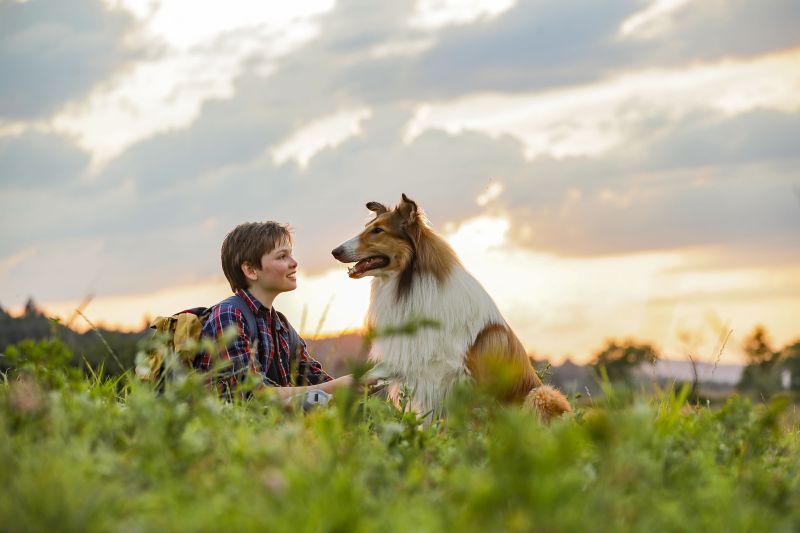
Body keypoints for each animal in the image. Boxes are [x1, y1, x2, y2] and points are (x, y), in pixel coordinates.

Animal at [330, 193, 568, 422]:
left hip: (541, 394)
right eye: (368, 227)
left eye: (378, 230)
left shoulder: (452, 378)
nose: (335, 251)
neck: (409, 283)